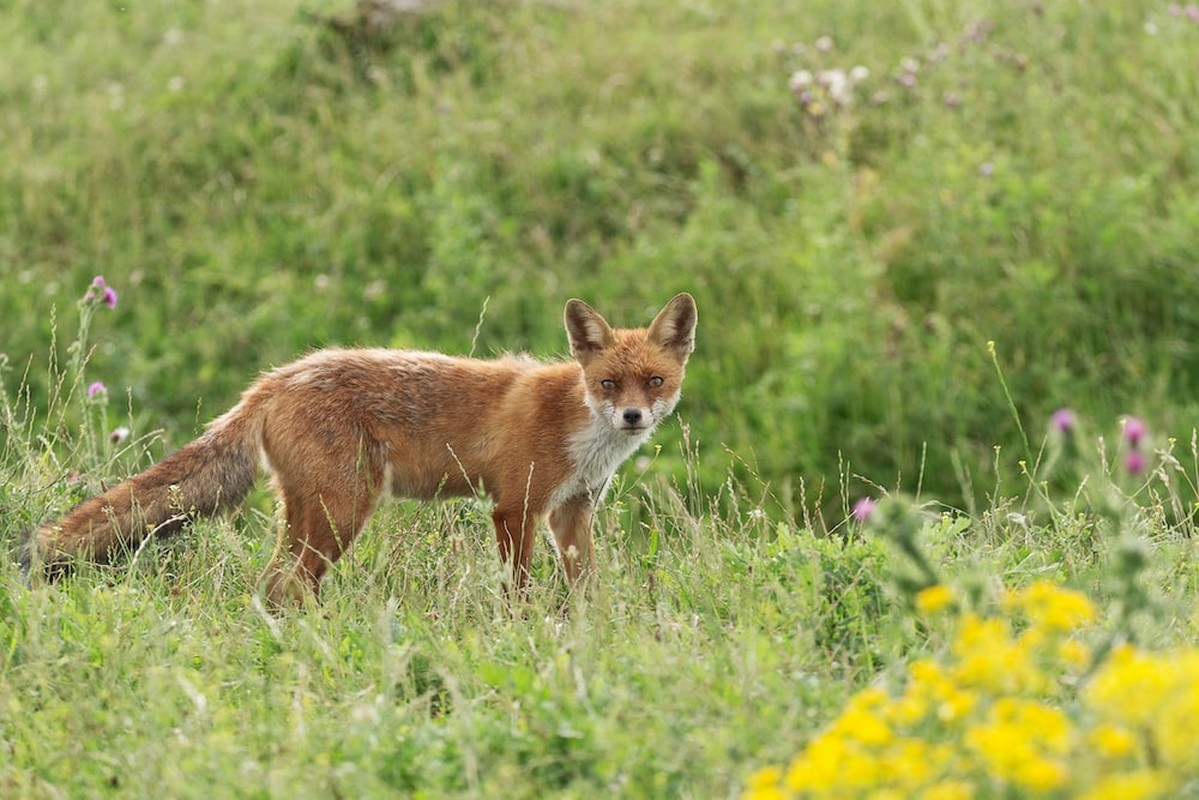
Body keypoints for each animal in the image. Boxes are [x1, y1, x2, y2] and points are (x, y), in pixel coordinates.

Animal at [25, 293, 695, 606]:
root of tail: (272, 379)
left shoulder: (572, 510)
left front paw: (589, 637)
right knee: (286, 586)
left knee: (272, 587)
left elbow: (587, 590)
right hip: (343, 511)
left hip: (312, 514)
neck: (582, 431)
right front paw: (524, 635)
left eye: (654, 382)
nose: (633, 416)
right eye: (608, 384)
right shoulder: (515, 506)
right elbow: (519, 591)